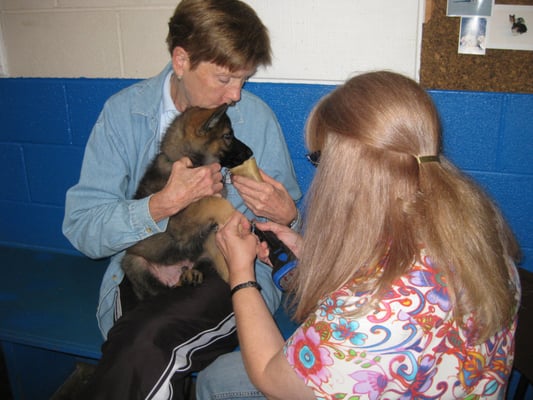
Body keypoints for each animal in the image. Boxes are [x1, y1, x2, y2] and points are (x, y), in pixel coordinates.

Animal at [121, 104, 252, 298]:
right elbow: (211, 201)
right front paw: (233, 217)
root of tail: (172, 272)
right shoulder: (179, 224)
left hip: (199, 252)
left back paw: (189, 275)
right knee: (160, 289)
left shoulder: (209, 234)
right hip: (134, 263)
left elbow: (221, 258)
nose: (251, 153)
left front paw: (233, 276)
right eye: (228, 135)